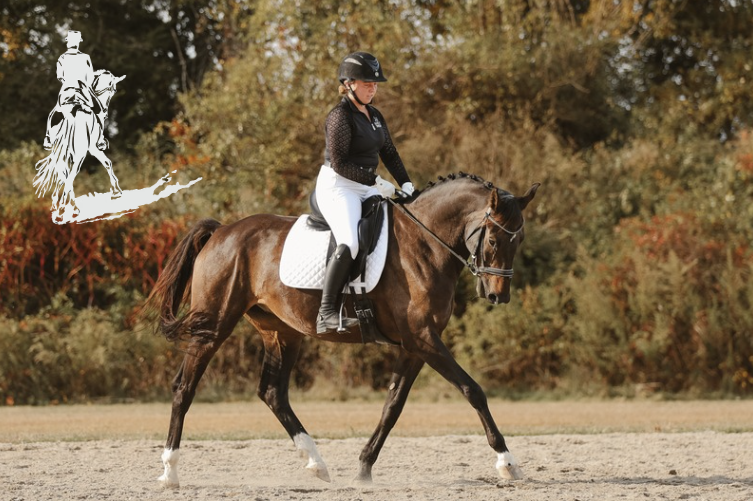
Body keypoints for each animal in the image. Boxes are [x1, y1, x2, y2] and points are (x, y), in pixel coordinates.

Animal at [33, 70, 125, 223]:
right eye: (114, 90)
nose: (105, 112)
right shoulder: (93, 148)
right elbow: (107, 162)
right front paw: (116, 191)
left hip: (61, 155)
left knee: (65, 178)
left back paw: (67, 207)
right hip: (79, 155)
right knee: (70, 177)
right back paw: (64, 210)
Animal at [146, 172, 539, 487]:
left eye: (519, 241)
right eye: (493, 241)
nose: (498, 295)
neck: (425, 244)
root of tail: (222, 231)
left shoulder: (414, 345)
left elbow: (393, 406)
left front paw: (364, 467)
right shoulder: (423, 339)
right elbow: (473, 390)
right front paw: (507, 462)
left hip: (282, 333)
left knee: (273, 392)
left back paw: (316, 463)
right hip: (213, 326)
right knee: (184, 387)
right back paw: (169, 472)